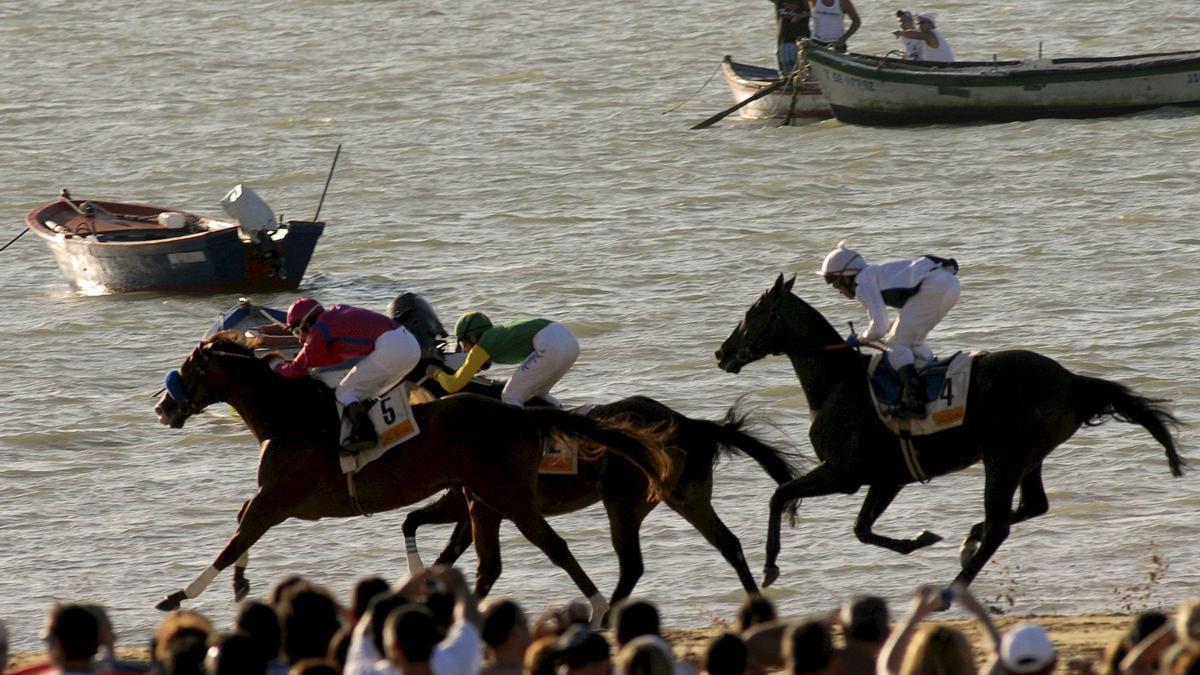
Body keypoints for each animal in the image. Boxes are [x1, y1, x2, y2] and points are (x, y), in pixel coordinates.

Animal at [152, 331, 676, 619]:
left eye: (188, 368)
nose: (162, 407)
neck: (291, 418)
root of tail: (522, 415)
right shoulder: (285, 502)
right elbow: (241, 525)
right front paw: (238, 584)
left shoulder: (281, 499)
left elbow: (235, 538)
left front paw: (178, 595)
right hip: (483, 499)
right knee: (492, 562)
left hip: (509, 496)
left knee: (556, 547)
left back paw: (600, 606)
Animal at [710, 271, 1180, 588]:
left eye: (752, 313)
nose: (721, 353)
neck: (837, 383)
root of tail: (1071, 380)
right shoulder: (887, 478)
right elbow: (862, 530)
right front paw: (920, 538)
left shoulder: (844, 473)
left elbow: (779, 495)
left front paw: (771, 565)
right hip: (1028, 457)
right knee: (1032, 507)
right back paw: (967, 541)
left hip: (1003, 458)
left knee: (1000, 527)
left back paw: (955, 585)